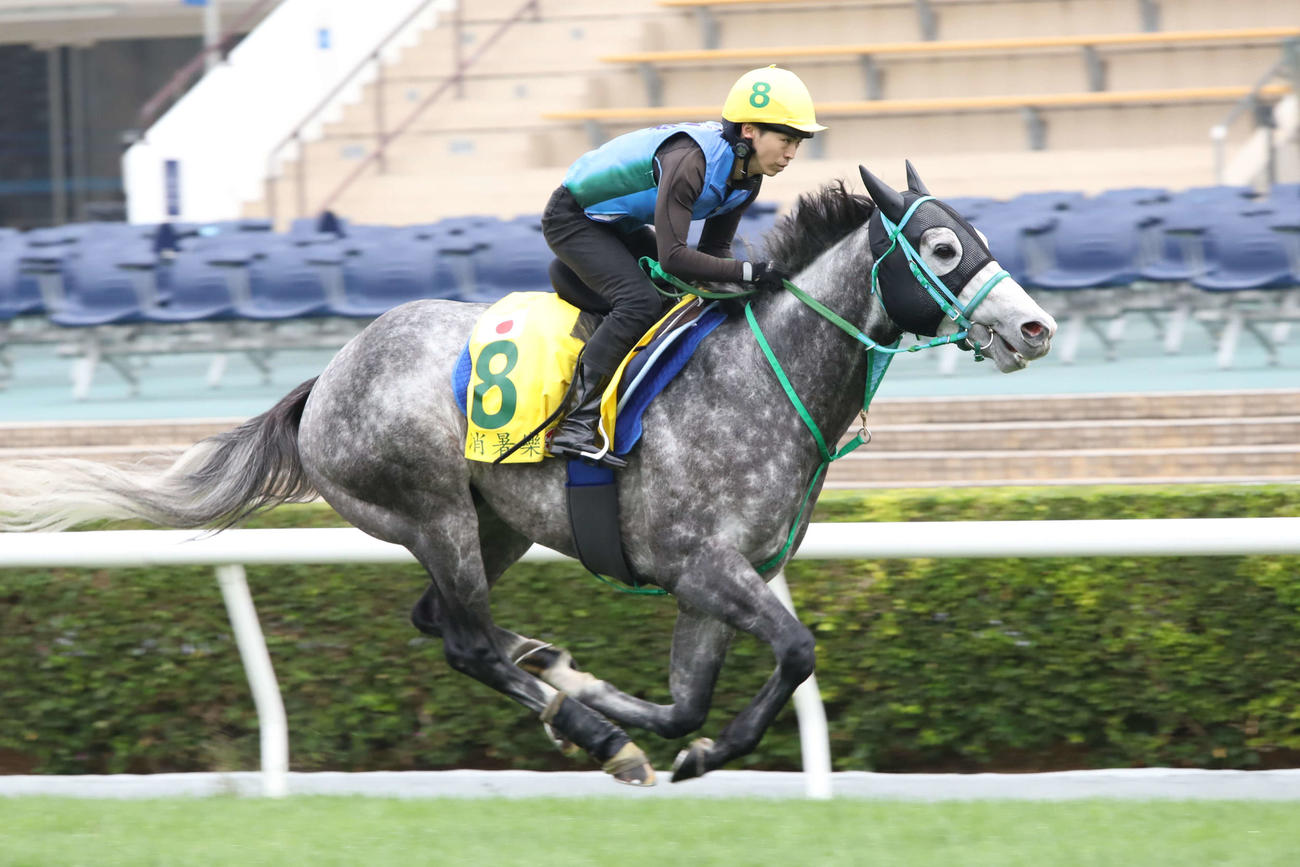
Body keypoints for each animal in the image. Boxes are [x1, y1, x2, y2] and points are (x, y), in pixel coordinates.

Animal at [0, 164, 1057, 786]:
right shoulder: (705, 566)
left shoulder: (713, 583)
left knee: (445, 623)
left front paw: (617, 704)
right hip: (431, 510)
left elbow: (688, 696)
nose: (1037, 326)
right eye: (943, 246)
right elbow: (793, 652)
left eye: (978, 235)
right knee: (465, 640)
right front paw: (670, 745)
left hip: (494, 524)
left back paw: (557, 678)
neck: (758, 378)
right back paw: (588, 728)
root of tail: (327, 378)